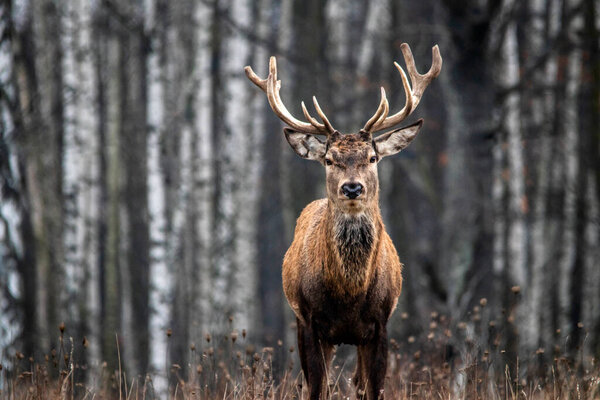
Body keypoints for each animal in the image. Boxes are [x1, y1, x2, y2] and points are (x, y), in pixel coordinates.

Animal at [244, 43, 440, 400]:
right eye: (329, 159)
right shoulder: (310, 321)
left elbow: (371, 389)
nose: (352, 187)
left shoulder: (380, 323)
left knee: (356, 382)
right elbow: (317, 389)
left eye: (372, 157)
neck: (350, 295)